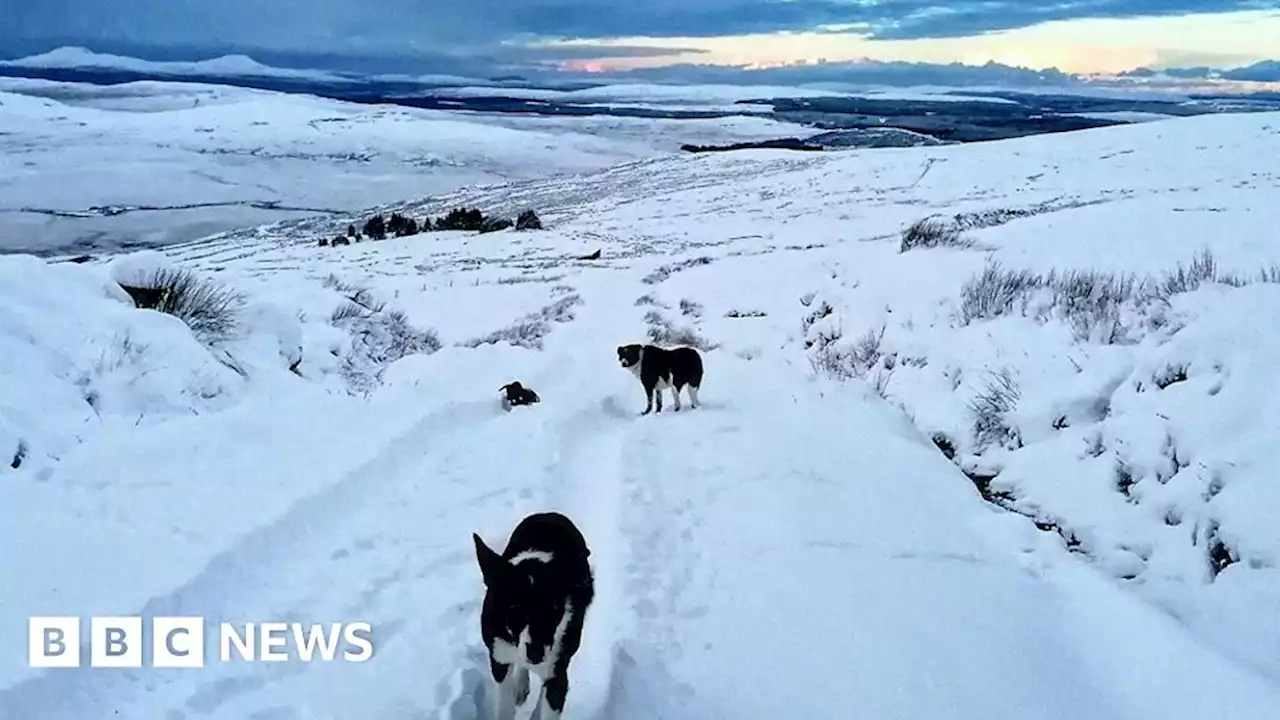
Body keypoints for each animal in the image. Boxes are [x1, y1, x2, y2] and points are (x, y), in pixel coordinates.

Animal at [473, 509, 591, 717]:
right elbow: (505, 706)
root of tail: (550, 513)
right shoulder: (499, 657)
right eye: (514, 608)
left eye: (553, 608)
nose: (535, 654)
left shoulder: (557, 670)